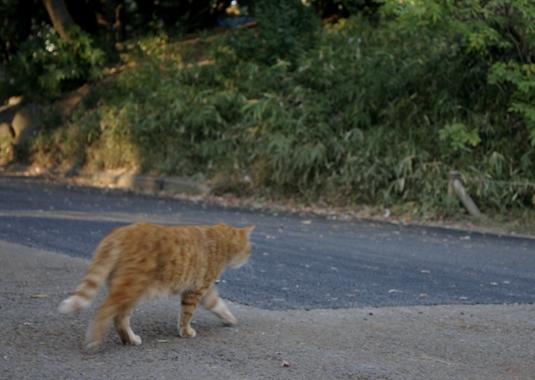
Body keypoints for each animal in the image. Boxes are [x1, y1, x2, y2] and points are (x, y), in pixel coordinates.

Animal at [57, 223, 254, 350]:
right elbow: (187, 315)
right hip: (131, 288)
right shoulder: (196, 290)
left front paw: (229, 318)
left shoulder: (204, 290)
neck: (221, 238)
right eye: (249, 249)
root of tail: (120, 231)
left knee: (119, 318)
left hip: (130, 291)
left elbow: (218, 305)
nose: (249, 258)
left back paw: (129, 340)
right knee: (106, 310)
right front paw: (185, 332)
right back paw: (94, 341)